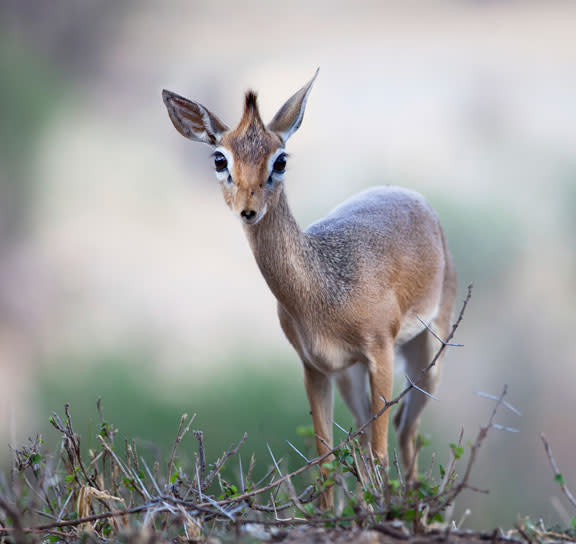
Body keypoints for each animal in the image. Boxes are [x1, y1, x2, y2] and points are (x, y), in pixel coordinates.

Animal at [162, 70, 454, 508]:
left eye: (280, 159)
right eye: (220, 158)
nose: (248, 209)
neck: (323, 288)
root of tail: (414, 198)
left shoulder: (380, 354)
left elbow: (378, 453)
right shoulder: (314, 367)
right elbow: (326, 460)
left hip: (427, 354)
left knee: (403, 429)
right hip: (351, 375)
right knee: (374, 433)